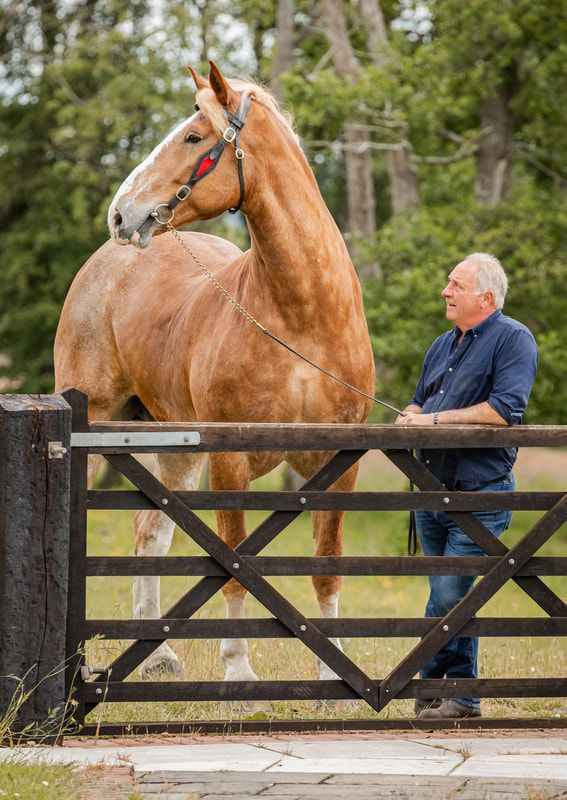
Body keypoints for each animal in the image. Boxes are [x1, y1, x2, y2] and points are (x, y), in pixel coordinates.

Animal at [54, 62, 375, 682]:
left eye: (193, 137)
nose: (121, 213)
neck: (301, 318)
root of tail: (108, 261)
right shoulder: (230, 461)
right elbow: (232, 563)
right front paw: (238, 671)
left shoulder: (338, 464)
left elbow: (326, 568)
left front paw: (333, 678)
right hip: (101, 426)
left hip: (176, 448)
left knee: (150, 535)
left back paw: (159, 655)